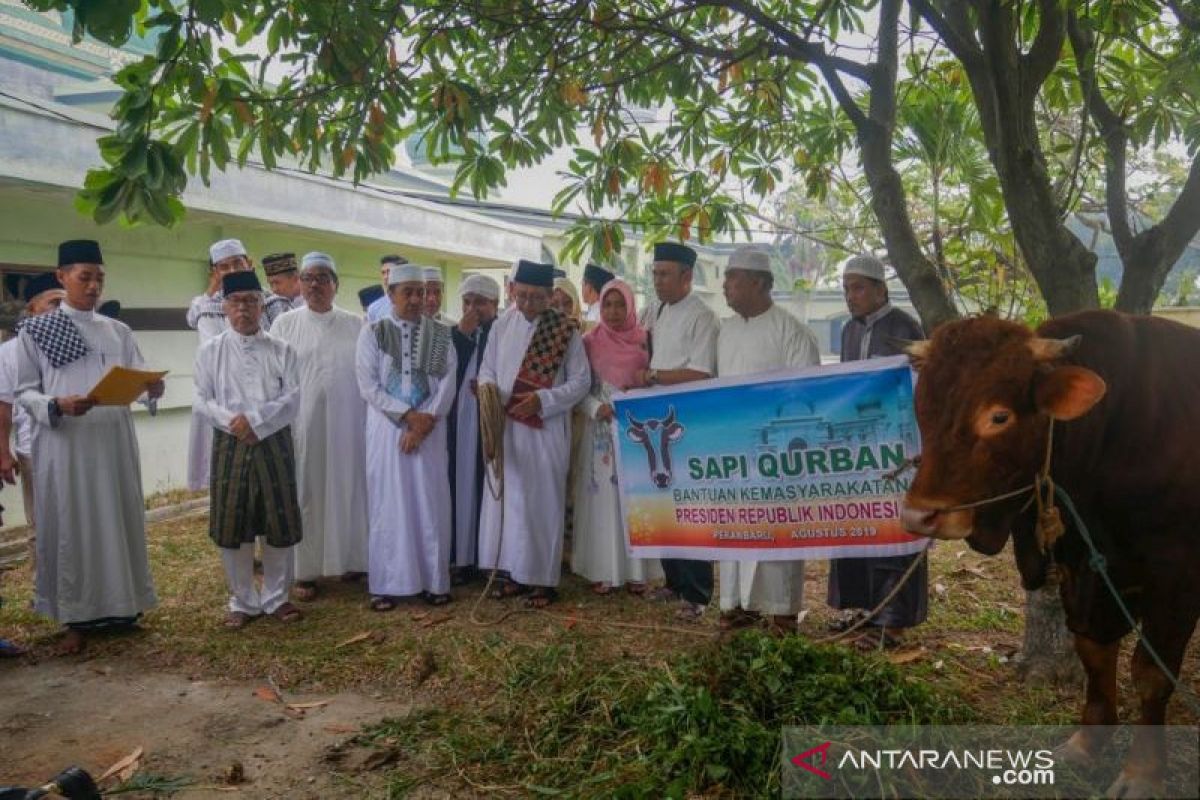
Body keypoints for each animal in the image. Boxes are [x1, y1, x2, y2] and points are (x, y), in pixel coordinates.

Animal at [902, 309, 1200, 796]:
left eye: (998, 415)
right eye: (922, 408)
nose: (918, 516)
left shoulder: (1176, 579)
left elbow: (1152, 675)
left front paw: (1143, 773)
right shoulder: (1087, 573)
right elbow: (1094, 652)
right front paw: (1085, 744)